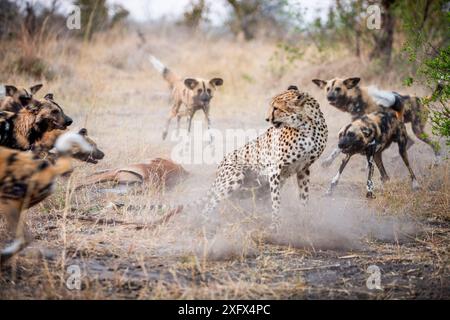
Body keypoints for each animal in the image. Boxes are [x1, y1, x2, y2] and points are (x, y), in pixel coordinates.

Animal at [197, 85, 326, 230]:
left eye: (276, 108)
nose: (267, 119)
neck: (307, 125)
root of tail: (219, 167)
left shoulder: (303, 168)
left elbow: (304, 196)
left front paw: (305, 220)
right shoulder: (274, 168)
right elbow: (276, 200)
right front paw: (276, 225)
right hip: (236, 176)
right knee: (208, 205)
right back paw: (208, 224)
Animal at [312, 75, 440, 165]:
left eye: (338, 89)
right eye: (328, 89)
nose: (329, 97)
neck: (356, 98)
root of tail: (422, 99)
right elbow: (337, 148)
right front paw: (327, 161)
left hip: (418, 130)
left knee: (435, 144)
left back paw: (437, 161)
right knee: (411, 142)